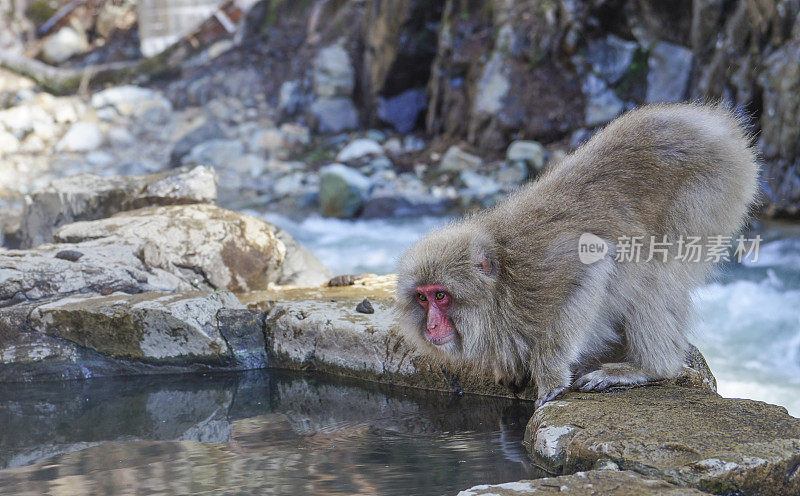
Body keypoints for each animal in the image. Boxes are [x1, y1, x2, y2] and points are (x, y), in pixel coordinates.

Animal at [396, 103, 760, 406]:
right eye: (422, 298)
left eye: (441, 296)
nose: (431, 325)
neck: (502, 283)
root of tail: (714, 124)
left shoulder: (540, 271)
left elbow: (593, 264)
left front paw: (550, 375)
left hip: (710, 188)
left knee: (654, 273)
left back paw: (650, 368)